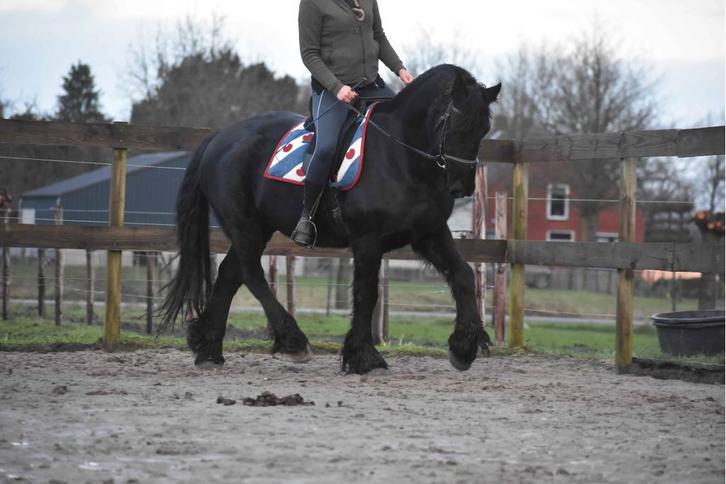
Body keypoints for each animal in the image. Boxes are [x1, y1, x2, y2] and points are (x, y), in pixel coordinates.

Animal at [158, 64, 501, 375]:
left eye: (484, 129)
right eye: (454, 122)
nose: (462, 185)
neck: (401, 156)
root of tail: (219, 137)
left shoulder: (430, 233)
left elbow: (463, 275)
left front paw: (464, 347)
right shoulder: (367, 240)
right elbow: (366, 294)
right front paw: (364, 358)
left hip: (257, 227)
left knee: (231, 273)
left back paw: (208, 349)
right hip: (244, 225)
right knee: (251, 273)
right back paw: (293, 341)